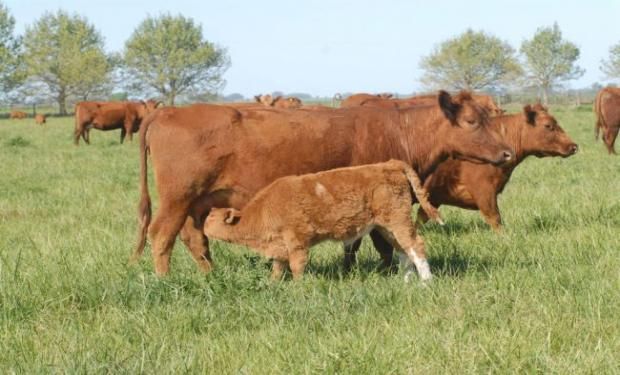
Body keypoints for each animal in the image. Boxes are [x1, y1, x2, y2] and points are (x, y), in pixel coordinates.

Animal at [206, 161, 444, 282]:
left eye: (210, 217)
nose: (202, 225)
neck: (263, 211)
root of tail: (390, 163)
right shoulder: (279, 247)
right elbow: (277, 269)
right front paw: (273, 285)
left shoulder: (297, 243)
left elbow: (297, 267)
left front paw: (298, 289)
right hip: (386, 227)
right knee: (404, 250)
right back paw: (406, 281)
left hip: (398, 221)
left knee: (416, 246)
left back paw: (426, 282)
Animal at [346, 104, 580, 272]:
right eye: (549, 126)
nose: (574, 146)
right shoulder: (485, 193)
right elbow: (496, 221)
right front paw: (506, 241)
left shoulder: (434, 198)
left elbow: (420, 220)